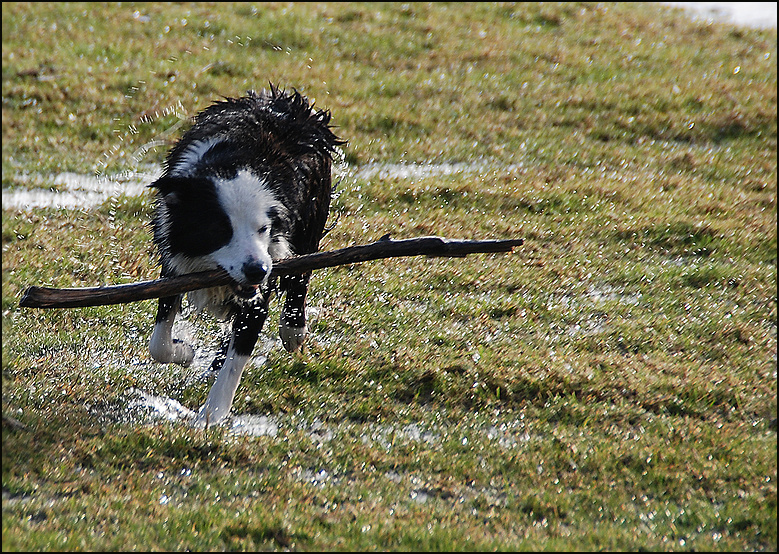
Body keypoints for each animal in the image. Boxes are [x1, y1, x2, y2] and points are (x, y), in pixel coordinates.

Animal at [149, 85, 344, 422]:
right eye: (220, 231)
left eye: (263, 228)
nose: (257, 271)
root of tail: (291, 102)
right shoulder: (175, 265)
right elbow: (159, 341)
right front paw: (185, 351)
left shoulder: (268, 266)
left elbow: (239, 352)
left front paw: (211, 416)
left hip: (312, 217)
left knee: (300, 276)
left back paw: (293, 330)